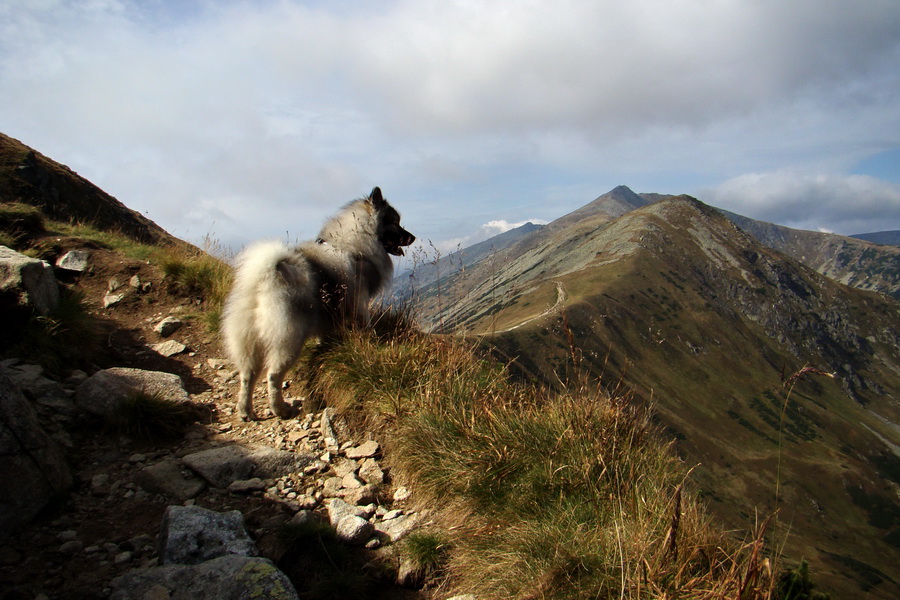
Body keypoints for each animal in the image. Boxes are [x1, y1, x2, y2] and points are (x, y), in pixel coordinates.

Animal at [221, 189, 414, 422]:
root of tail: (264, 278)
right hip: (289, 340)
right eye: (395, 223)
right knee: (273, 376)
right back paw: (281, 409)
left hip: (248, 342)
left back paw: (245, 410)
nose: (412, 237)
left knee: (247, 376)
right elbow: (366, 325)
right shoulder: (360, 302)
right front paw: (371, 342)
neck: (354, 243)